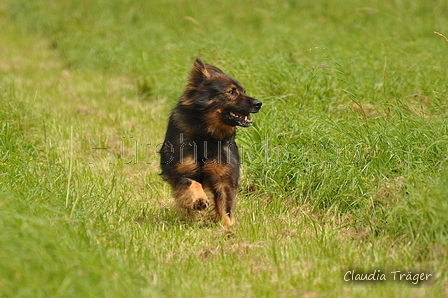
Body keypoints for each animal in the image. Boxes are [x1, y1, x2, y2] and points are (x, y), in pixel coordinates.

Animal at [159, 57, 260, 226]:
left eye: (244, 91)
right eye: (231, 92)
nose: (259, 103)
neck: (206, 135)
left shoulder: (224, 178)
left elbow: (226, 207)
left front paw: (228, 227)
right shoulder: (179, 171)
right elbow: (192, 183)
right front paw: (199, 199)